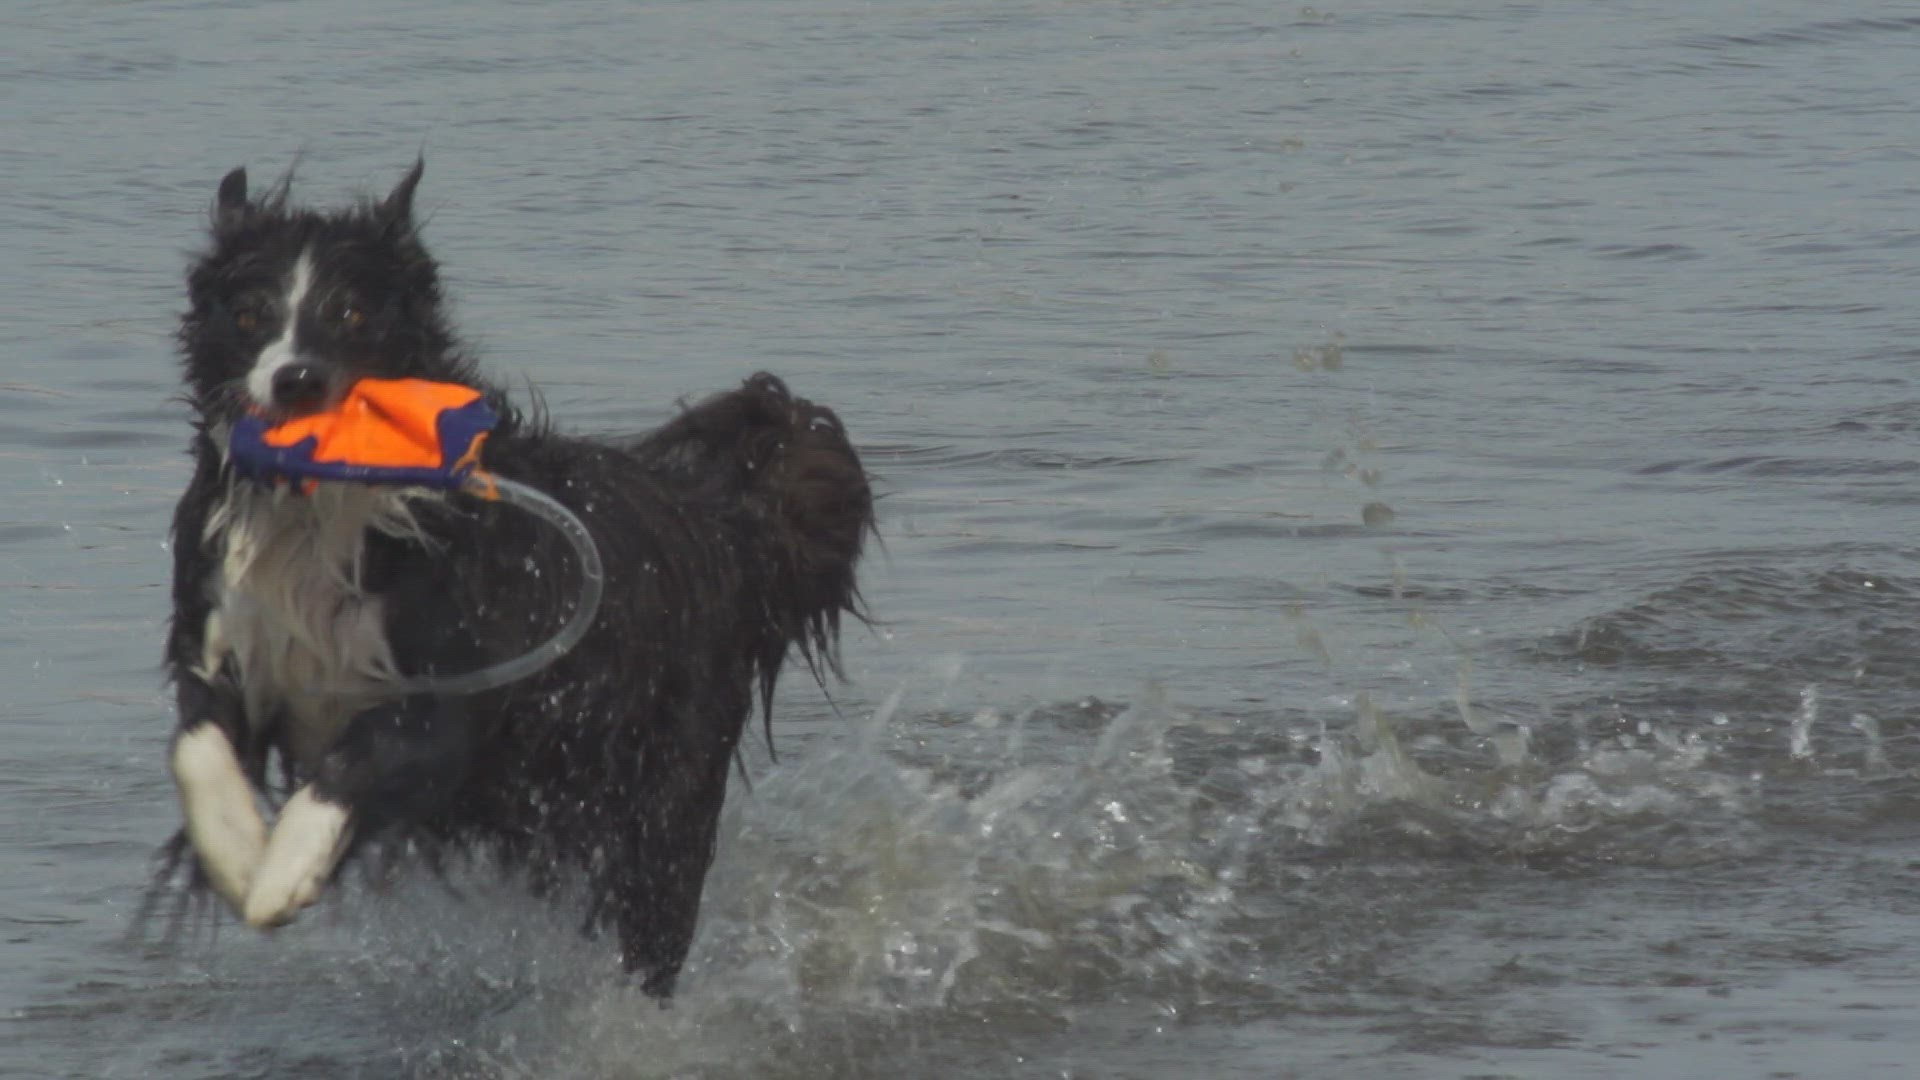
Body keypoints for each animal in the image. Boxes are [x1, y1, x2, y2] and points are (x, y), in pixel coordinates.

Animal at [150, 160, 872, 997]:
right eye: (248, 314)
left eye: (352, 311)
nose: (295, 379)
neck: (323, 513)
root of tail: (718, 525)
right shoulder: (219, 633)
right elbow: (195, 742)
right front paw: (237, 855)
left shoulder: (457, 695)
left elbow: (355, 757)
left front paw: (283, 873)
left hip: (666, 796)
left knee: (657, 922)